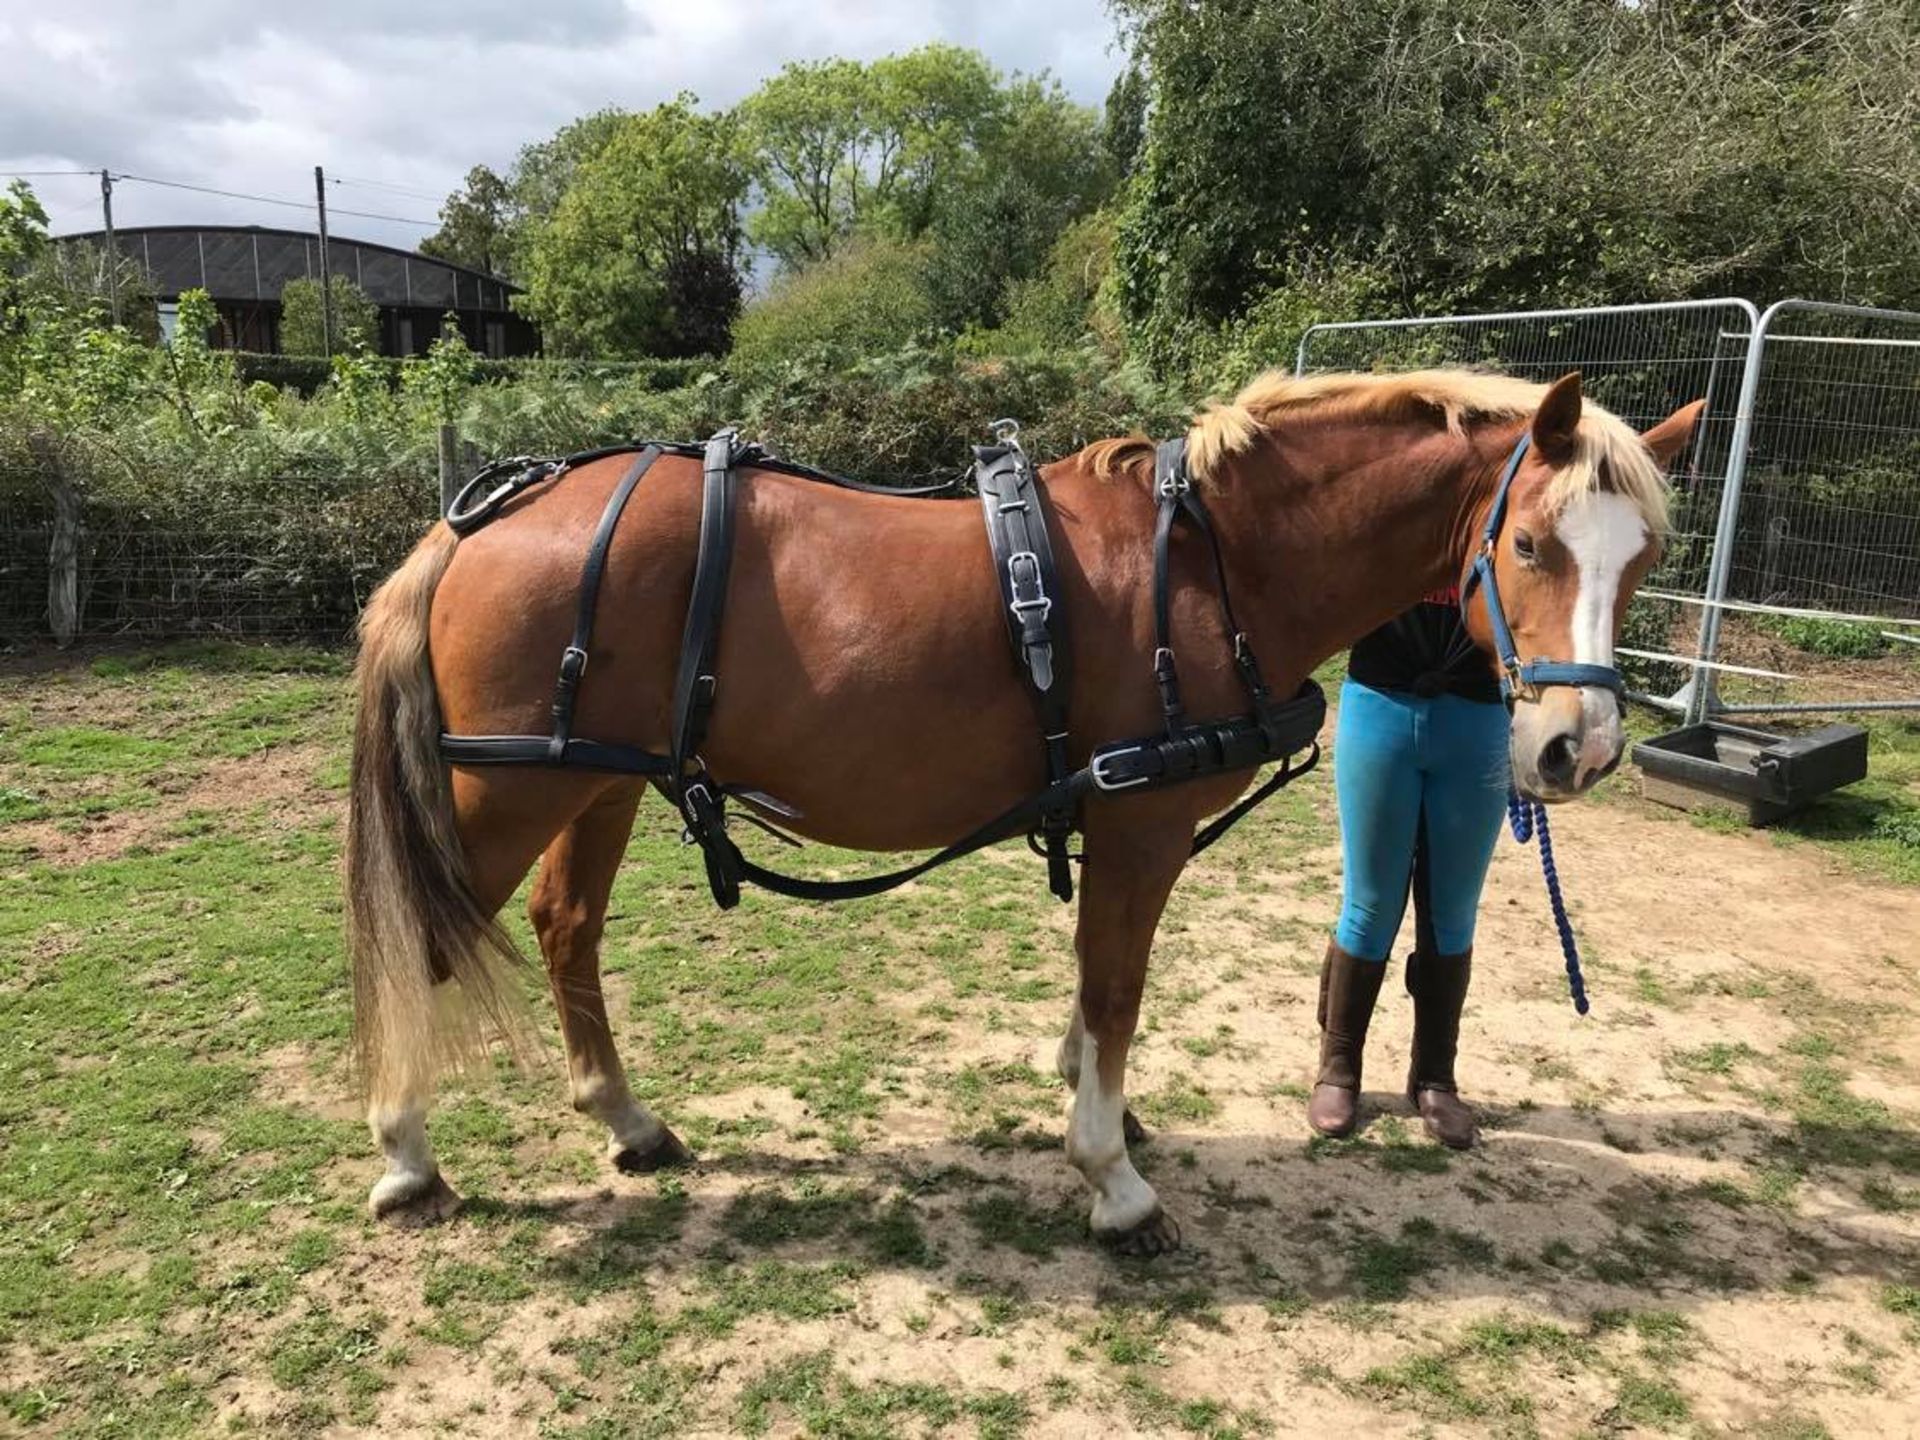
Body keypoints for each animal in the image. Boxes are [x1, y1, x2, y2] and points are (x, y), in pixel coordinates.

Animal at [345, 368, 1697, 1251]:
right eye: (1530, 546)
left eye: (1640, 561)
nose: (1580, 749)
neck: (1211, 568)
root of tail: (482, 521)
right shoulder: (1142, 827)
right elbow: (1117, 988)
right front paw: (1113, 1180)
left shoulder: (1114, 824)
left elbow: (1096, 993)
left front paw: (1094, 1103)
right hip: (510, 787)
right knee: (430, 940)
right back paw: (407, 1156)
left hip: (600, 778)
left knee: (567, 925)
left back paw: (625, 1121)